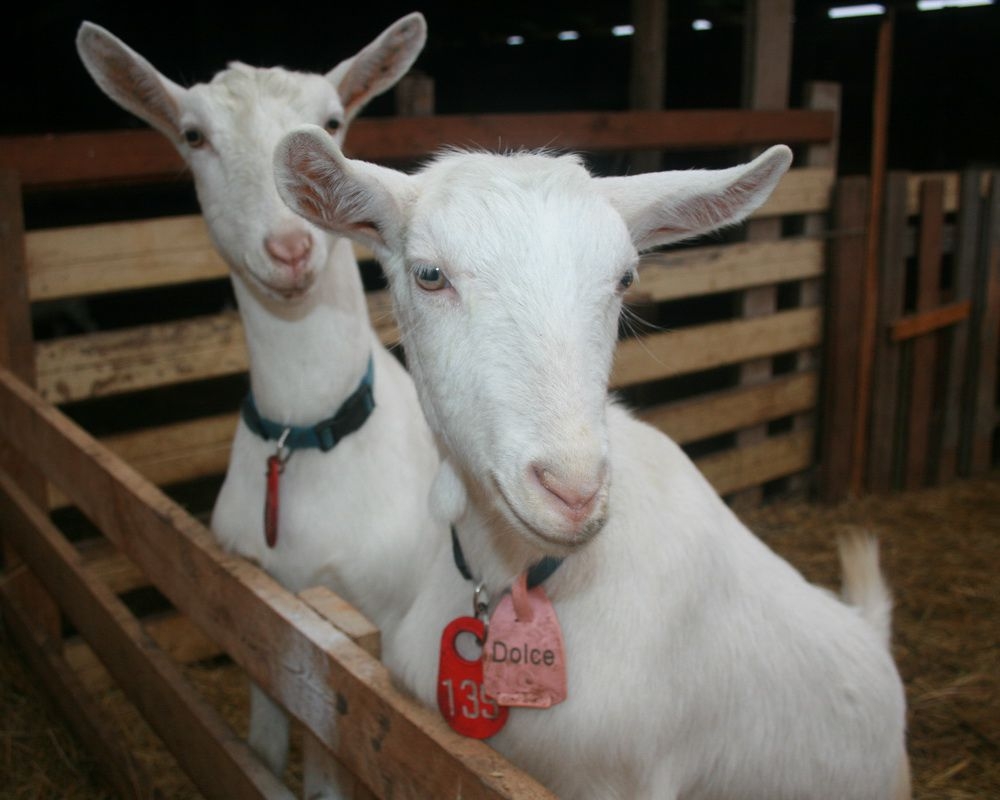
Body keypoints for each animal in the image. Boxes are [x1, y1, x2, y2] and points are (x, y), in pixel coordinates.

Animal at [74, 15, 442, 784]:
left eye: (333, 121)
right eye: (193, 135)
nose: (290, 248)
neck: (306, 435)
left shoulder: (358, 657)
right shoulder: (262, 622)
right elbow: (263, 755)